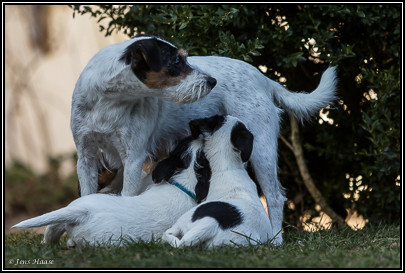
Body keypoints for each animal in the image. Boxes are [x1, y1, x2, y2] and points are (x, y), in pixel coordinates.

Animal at [11, 134, 211, 246]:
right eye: (183, 145)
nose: (200, 137)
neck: (184, 180)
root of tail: (82, 212)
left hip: (75, 212)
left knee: (53, 228)